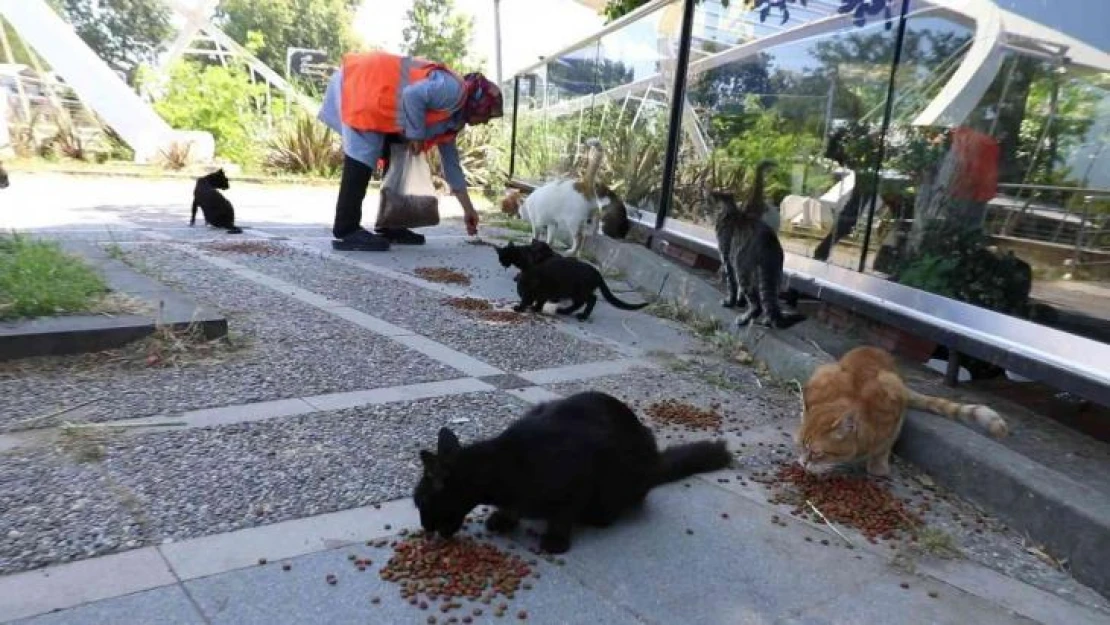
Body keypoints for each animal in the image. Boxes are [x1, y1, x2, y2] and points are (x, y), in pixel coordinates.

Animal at [412, 392, 732, 555]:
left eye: (422, 503)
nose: (425, 528)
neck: (506, 466)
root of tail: (653, 462)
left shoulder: (576, 482)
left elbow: (562, 516)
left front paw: (555, 540)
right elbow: (513, 508)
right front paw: (504, 517)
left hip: (615, 487)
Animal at [714, 158, 803, 330]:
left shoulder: (727, 257)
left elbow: (731, 284)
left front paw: (730, 302)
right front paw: (739, 302)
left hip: (743, 266)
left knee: (758, 303)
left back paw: (744, 319)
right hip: (773, 273)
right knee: (770, 299)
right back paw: (767, 319)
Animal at [794, 344, 1012, 477]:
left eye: (817, 453)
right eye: (800, 446)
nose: (803, 463)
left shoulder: (896, 411)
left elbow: (886, 444)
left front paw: (878, 466)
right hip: (826, 370)